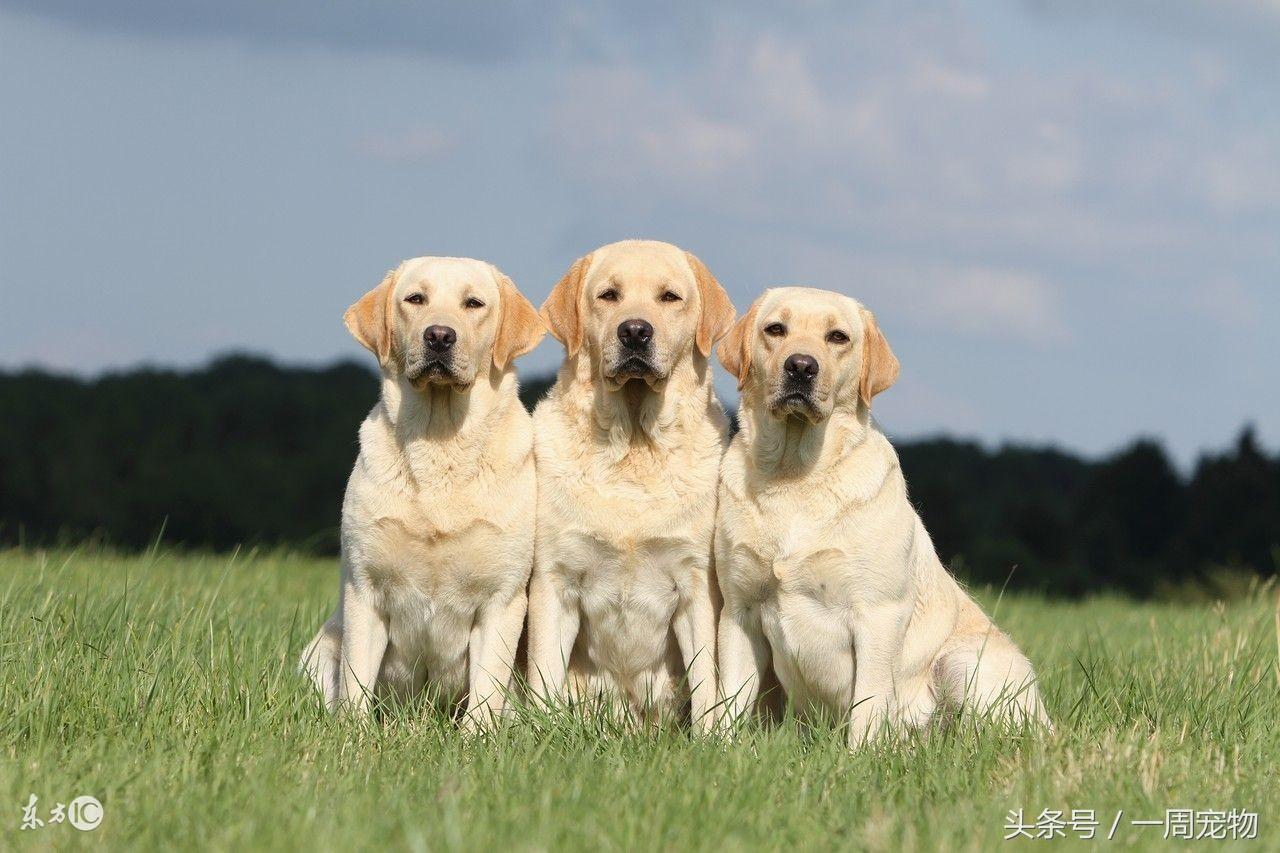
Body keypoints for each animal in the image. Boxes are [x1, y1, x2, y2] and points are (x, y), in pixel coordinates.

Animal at [303, 253, 545, 722]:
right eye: (415, 299)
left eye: (474, 303)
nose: (439, 336)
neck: (440, 442)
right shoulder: (365, 591)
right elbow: (356, 684)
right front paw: (353, 734)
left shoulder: (501, 599)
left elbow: (485, 692)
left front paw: (477, 736)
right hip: (319, 649)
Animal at [524, 235, 737, 727]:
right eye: (608, 295)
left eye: (669, 297)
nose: (635, 331)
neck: (634, 449)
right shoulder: (555, 581)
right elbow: (544, 676)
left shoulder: (696, 587)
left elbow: (707, 680)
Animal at [711, 286, 1049, 742]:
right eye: (775, 329)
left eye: (838, 337)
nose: (801, 366)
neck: (795, 476)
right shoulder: (739, 612)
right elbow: (728, 700)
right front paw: (715, 748)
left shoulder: (877, 614)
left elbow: (868, 705)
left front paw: (859, 754)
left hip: (964, 661)